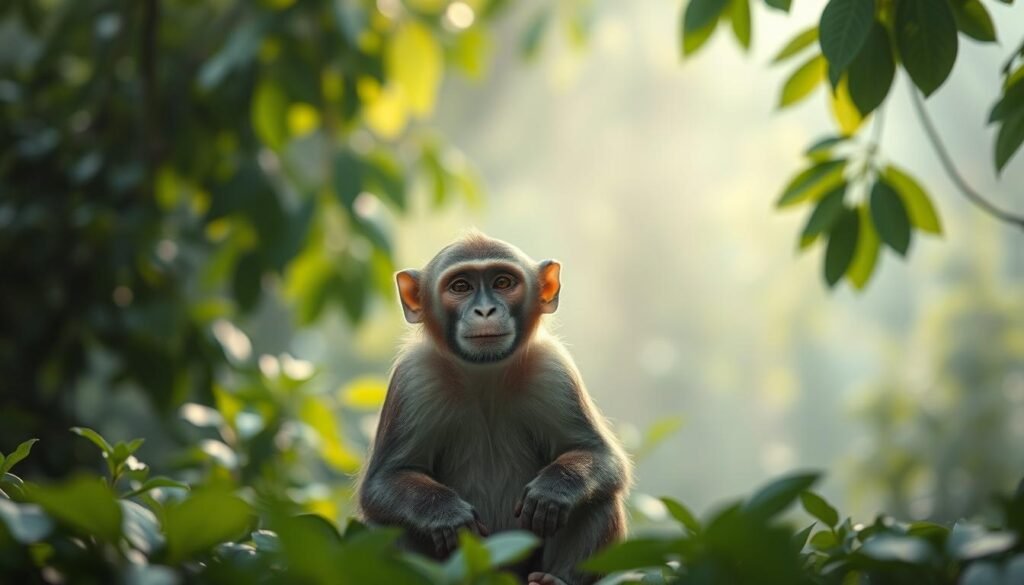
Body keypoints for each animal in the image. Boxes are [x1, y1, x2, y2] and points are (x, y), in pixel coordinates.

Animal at [357, 232, 632, 585]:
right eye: (460, 286)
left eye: (503, 282)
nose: (485, 310)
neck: (484, 374)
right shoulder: (413, 377)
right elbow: (385, 480)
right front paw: (446, 514)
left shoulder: (553, 369)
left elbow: (599, 456)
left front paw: (552, 490)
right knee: (389, 522)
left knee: (599, 499)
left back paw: (554, 579)